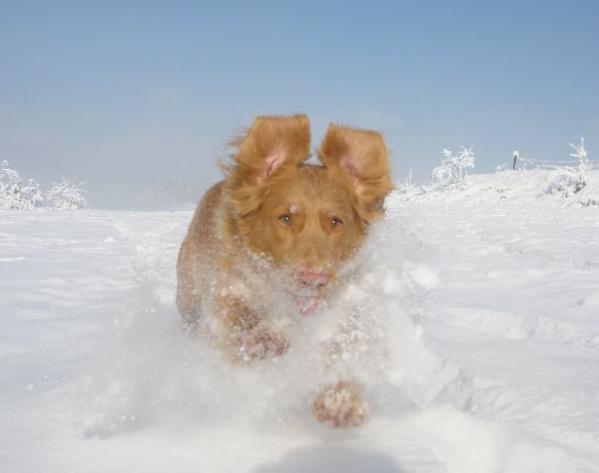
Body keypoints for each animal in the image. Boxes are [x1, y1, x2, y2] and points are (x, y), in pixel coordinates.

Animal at [176, 114, 396, 428]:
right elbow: (239, 319)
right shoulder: (228, 290)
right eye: (285, 218)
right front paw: (264, 338)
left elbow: (340, 352)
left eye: (336, 222)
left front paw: (340, 398)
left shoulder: (339, 314)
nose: (313, 279)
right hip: (189, 297)